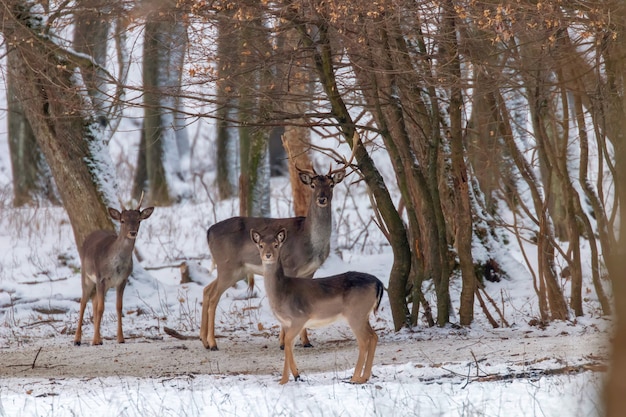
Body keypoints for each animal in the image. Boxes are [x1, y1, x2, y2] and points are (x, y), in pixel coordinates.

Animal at [73, 194, 154, 344]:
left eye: (138, 220)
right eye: (122, 220)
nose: (132, 232)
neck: (115, 266)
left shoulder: (122, 280)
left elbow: (118, 307)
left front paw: (120, 338)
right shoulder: (100, 278)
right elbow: (101, 308)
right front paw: (95, 341)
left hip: (102, 285)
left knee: (94, 301)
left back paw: (99, 338)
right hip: (86, 276)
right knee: (83, 302)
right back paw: (77, 339)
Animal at [200, 132, 356, 350]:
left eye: (331, 185)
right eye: (313, 185)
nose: (322, 198)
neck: (310, 242)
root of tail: (208, 231)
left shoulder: (310, 271)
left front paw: (306, 342)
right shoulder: (290, 265)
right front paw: (283, 342)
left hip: (236, 270)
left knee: (207, 290)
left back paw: (203, 340)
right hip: (228, 265)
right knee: (214, 296)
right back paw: (213, 343)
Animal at [251, 228, 382, 384]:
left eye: (276, 245)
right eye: (261, 245)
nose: (268, 255)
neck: (282, 293)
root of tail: (378, 283)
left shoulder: (299, 317)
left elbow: (288, 342)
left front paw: (290, 378)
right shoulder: (287, 323)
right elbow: (288, 345)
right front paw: (289, 378)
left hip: (355, 314)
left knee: (363, 341)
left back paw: (355, 378)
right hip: (363, 315)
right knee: (374, 336)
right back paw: (364, 376)